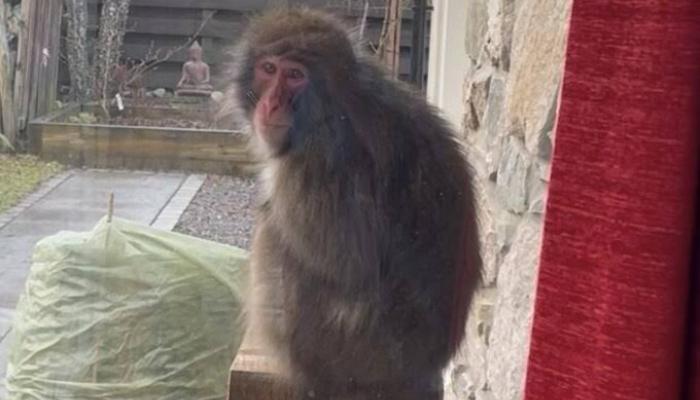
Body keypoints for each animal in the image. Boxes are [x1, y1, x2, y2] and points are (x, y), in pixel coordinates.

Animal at [226, 8, 481, 400]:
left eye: (295, 75)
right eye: (268, 69)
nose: (271, 103)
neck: (338, 102)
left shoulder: (317, 162)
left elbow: (345, 262)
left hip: (348, 350)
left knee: (278, 236)